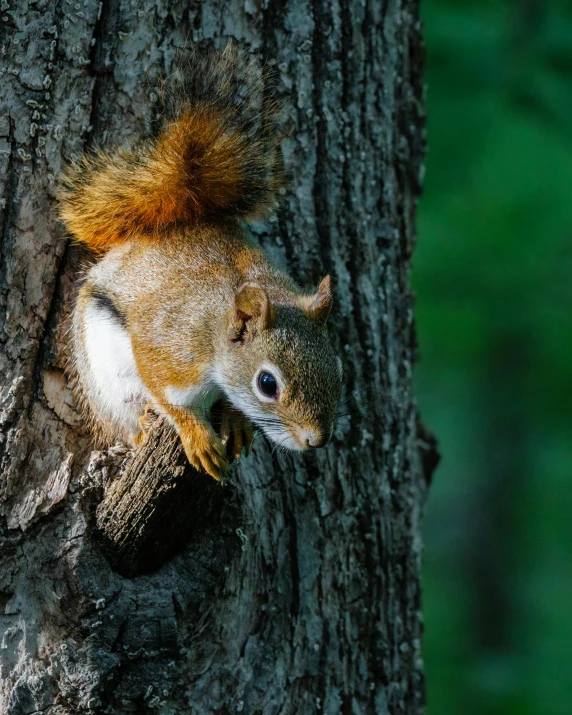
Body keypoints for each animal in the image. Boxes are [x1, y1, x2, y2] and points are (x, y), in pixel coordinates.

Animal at [59, 44, 342, 482]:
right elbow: (166, 393)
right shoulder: (170, 348)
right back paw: (142, 428)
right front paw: (197, 436)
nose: (317, 440)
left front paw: (237, 423)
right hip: (106, 379)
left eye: (338, 370)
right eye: (267, 383)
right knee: (127, 418)